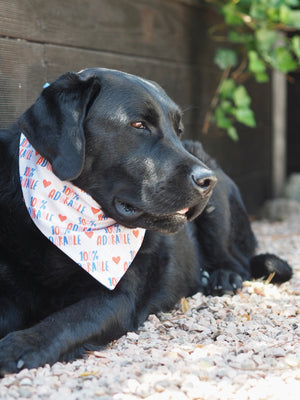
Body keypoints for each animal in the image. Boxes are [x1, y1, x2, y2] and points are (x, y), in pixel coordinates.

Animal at [0, 69, 292, 376]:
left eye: (179, 130)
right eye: (138, 125)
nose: (206, 181)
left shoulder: (117, 299)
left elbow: (67, 320)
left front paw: (22, 345)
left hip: (217, 210)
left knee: (239, 262)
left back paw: (223, 277)